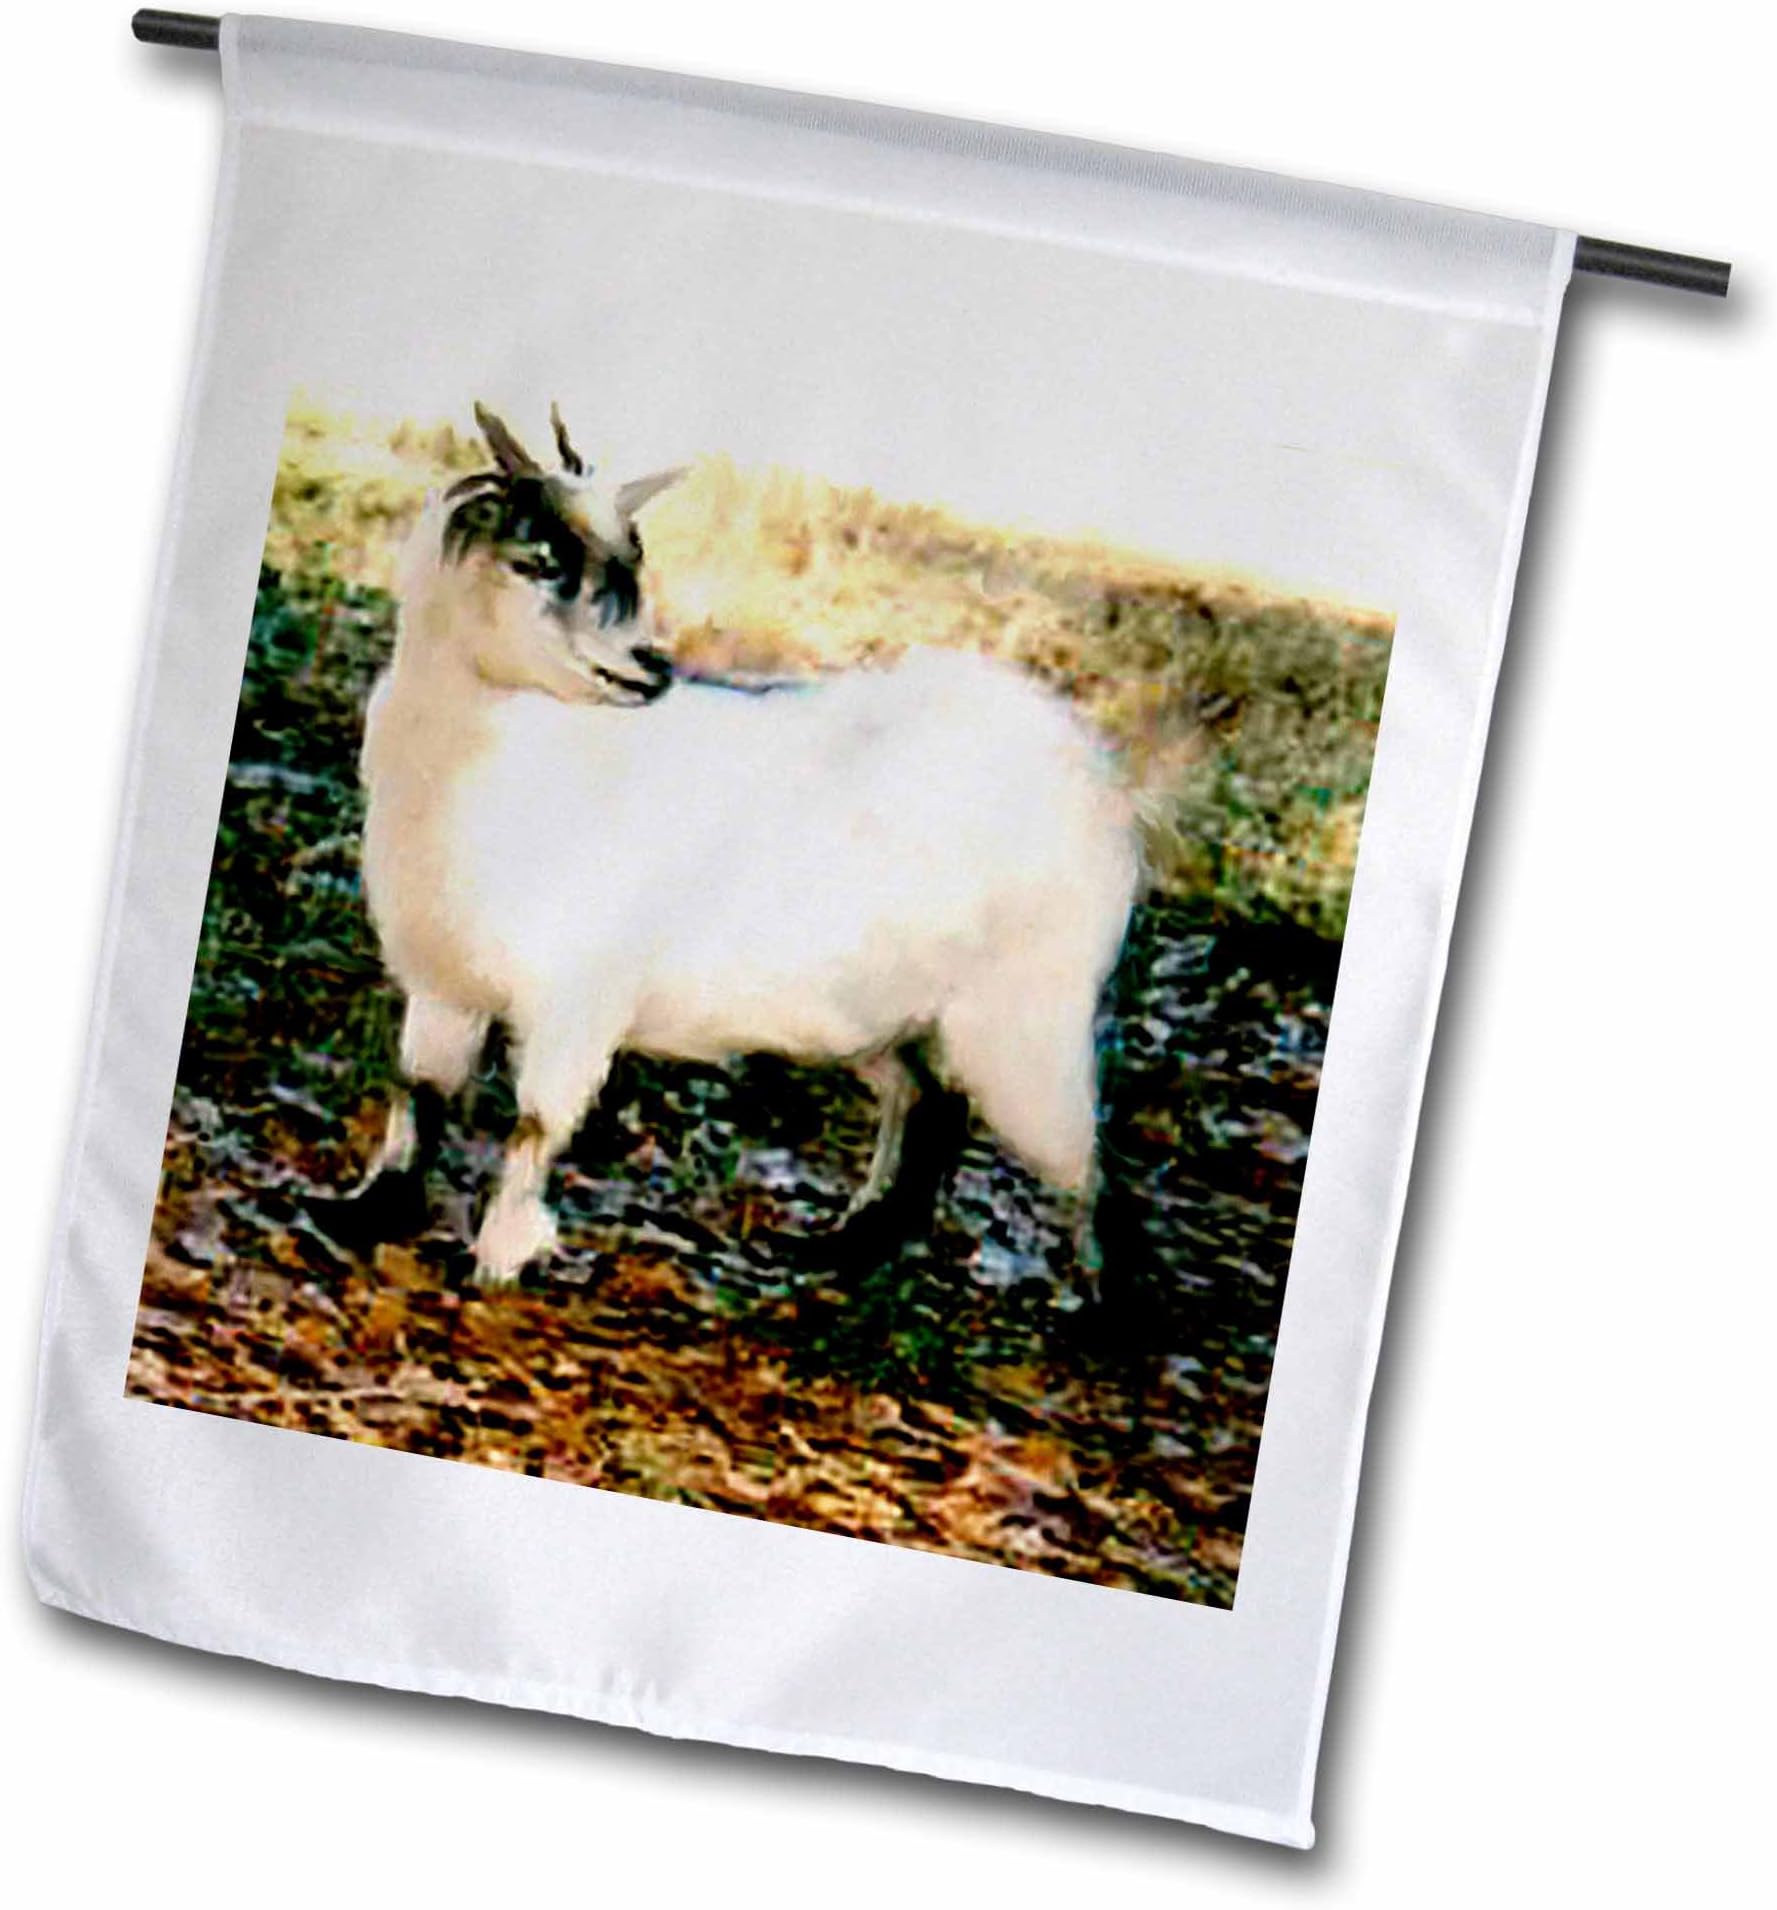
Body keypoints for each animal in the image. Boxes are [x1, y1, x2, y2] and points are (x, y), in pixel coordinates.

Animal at [315, 405, 1142, 1290]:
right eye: (537, 561)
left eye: (633, 562)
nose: (649, 666)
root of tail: (1098, 772)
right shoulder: (443, 984)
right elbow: (419, 1094)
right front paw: (367, 1210)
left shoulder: (580, 998)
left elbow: (535, 1125)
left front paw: (499, 1261)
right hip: (887, 1011)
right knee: (926, 1108)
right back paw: (847, 1249)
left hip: (1026, 1017)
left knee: (1086, 1159)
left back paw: (1100, 1300)